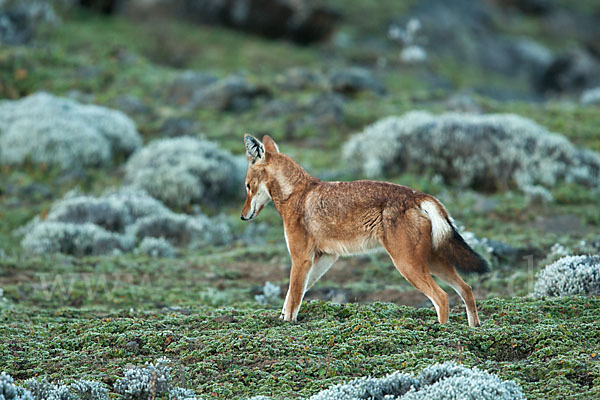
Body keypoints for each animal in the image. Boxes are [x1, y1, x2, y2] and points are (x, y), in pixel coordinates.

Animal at [239, 133, 488, 326]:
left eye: (248, 186)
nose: (242, 216)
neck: (296, 193)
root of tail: (420, 196)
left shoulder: (301, 258)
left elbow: (293, 299)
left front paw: (288, 324)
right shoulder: (326, 257)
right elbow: (292, 295)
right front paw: (281, 319)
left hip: (407, 266)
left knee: (442, 297)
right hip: (432, 263)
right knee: (466, 289)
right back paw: (473, 330)